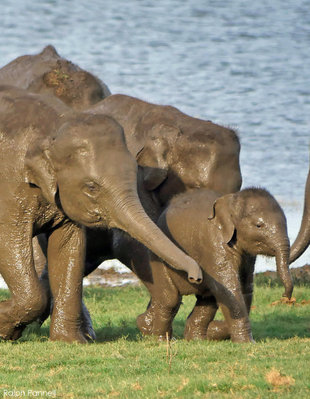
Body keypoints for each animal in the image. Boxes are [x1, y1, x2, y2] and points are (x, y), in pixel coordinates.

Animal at [0, 86, 201, 344]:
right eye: (91, 187)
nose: (196, 277)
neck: (55, 127)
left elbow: (69, 247)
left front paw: (71, 341)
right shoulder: (10, 187)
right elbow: (9, 242)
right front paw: (5, 329)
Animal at [133, 188, 294, 344]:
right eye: (259, 225)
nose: (285, 297)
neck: (231, 201)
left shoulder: (247, 255)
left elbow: (245, 286)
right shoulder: (213, 244)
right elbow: (229, 289)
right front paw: (247, 344)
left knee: (207, 298)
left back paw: (196, 340)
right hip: (158, 256)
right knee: (170, 299)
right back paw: (161, 340)